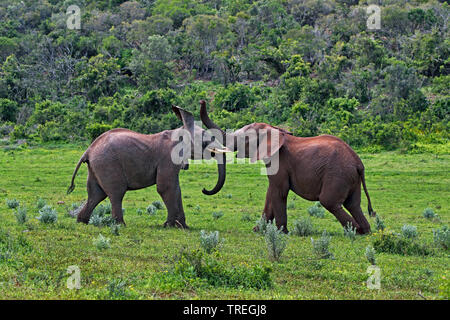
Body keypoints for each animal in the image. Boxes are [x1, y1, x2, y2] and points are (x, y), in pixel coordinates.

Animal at [66, 105, 232, 228]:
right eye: (207, 141)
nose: (204, 189)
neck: (181, 129)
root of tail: (88, 150)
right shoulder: (168, 158)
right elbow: (166, 187)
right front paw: (169, 226)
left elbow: (176, 189)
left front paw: (183, 227)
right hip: (108, 164)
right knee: (116, 193)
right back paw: (120, 225)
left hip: (97, 167)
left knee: (96, 194)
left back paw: (82, 222)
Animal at [200, 101, 376, 234]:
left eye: (244, 139)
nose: (202, 101)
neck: (273, 129)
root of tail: (358, 163)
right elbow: (270, 193)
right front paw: (258, 230)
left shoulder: (280, 161)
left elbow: (279, 191)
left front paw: (281, 232)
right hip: (350, 177)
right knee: (353, 204)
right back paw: (365, 231)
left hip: (338, 174)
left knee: (329, 202)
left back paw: (355, 231)